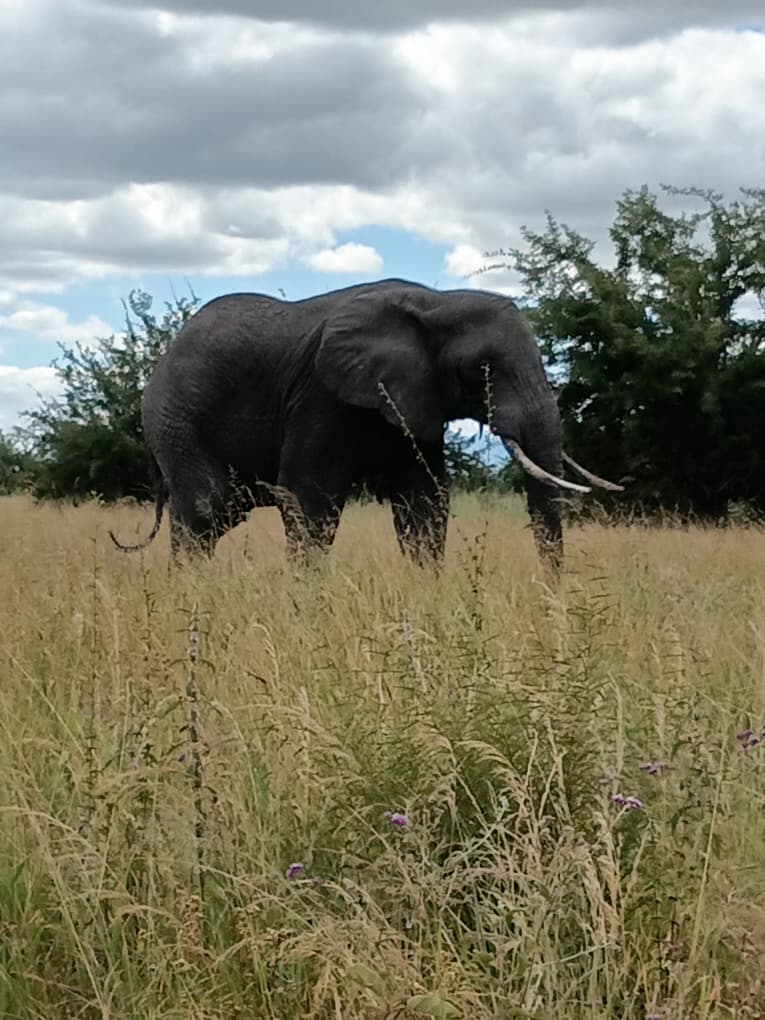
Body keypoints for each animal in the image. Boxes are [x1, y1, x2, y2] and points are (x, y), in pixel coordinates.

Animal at [109, 278, 623, 575]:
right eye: (484, 371)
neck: (437, 303)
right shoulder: (320, 394)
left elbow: (425, 501)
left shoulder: (414, 399)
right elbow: (309, 497)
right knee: (206, 508)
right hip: (176, 416)